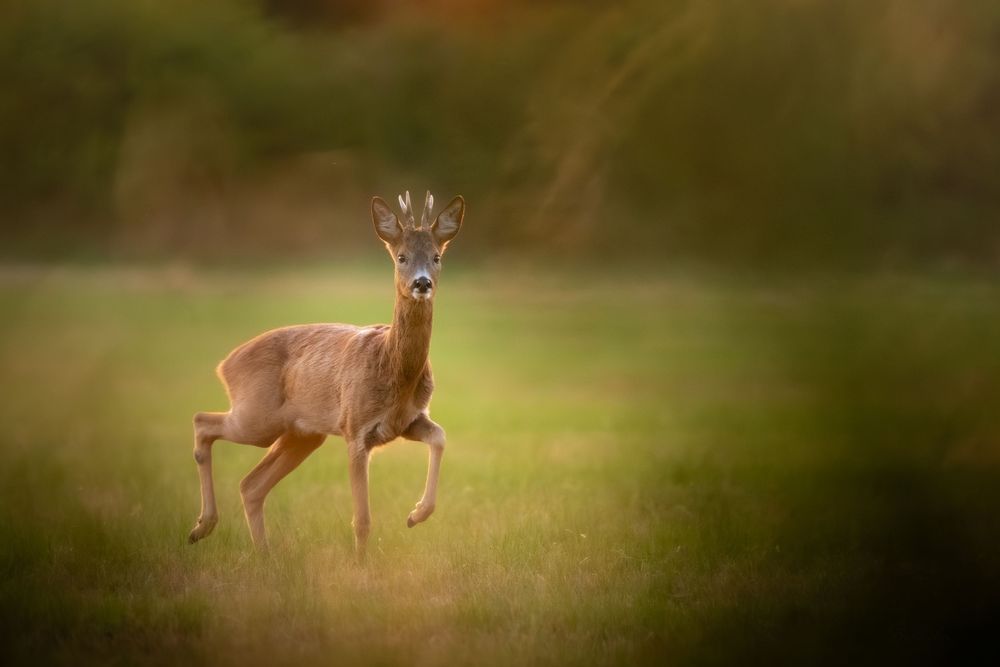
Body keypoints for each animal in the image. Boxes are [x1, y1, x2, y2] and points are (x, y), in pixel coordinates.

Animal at [187, 190, 464, 558]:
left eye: (436, 256)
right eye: (402, 257)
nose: (422, 282)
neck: (393, 369)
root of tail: (225, 364)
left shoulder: (408, 420)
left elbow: (440, 437)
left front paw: (416, 514)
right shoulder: (355, 428)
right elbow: (362, 518)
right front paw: (361, 565)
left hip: (302, 434)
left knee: (251, 485)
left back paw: (262, 553)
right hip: (257, 417)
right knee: (203, 422)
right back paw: (202, 527)